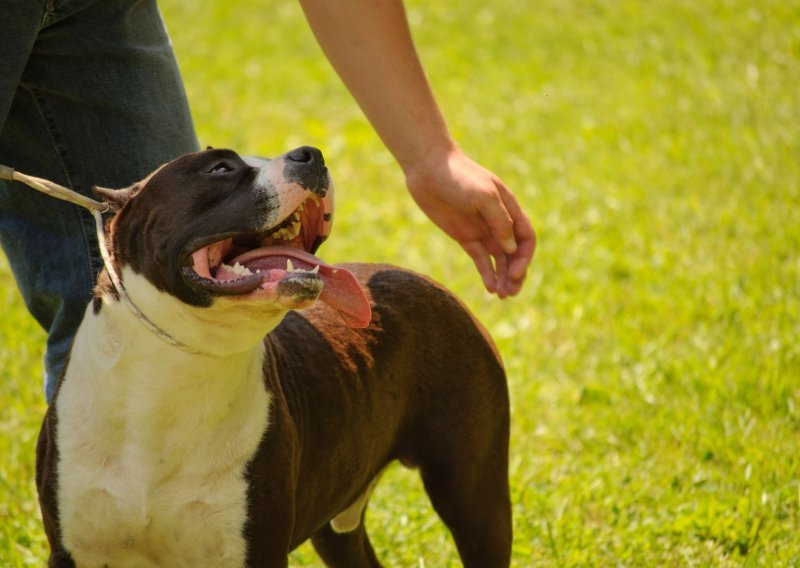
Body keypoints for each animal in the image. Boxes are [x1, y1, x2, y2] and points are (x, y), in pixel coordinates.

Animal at [36, 148, 512, 568]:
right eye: (220, 168)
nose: (311, 153)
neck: (174, 371)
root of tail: (427, 281)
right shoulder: (72, 551)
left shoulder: (256, 550)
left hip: (475, 495)